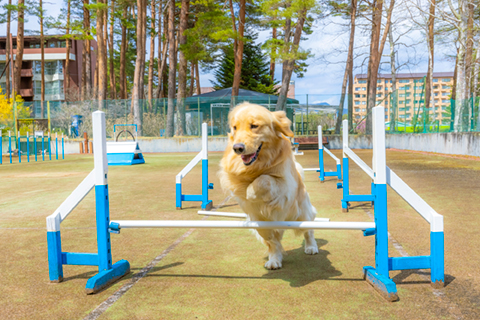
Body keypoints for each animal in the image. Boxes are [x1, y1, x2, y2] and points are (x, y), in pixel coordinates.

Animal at [220, 103, 318, 270]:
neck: (259, 164)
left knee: (308, 230)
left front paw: (251, 192)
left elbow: (263, 180)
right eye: (235, 127)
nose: (237, 148)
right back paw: (274, 260)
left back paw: (311, 247)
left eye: (254, 126)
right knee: (273, 241)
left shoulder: (286, 185)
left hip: (302, 214)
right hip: (263, 224)